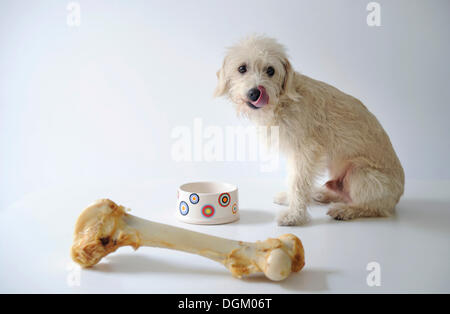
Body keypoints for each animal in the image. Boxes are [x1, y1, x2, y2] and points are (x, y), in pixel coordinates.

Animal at [214, 35, 404, 226]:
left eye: (270, 70)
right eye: (242, 68)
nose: (255, 93)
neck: (283, 101)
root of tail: (398, 197)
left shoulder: (307, 151)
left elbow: (298, 182)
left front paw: (294, 216)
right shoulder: (295, 154)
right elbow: (294, 178)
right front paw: (291, 200)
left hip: (359, 173)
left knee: (374, 208)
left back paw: (345, 210)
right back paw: (319, 194)